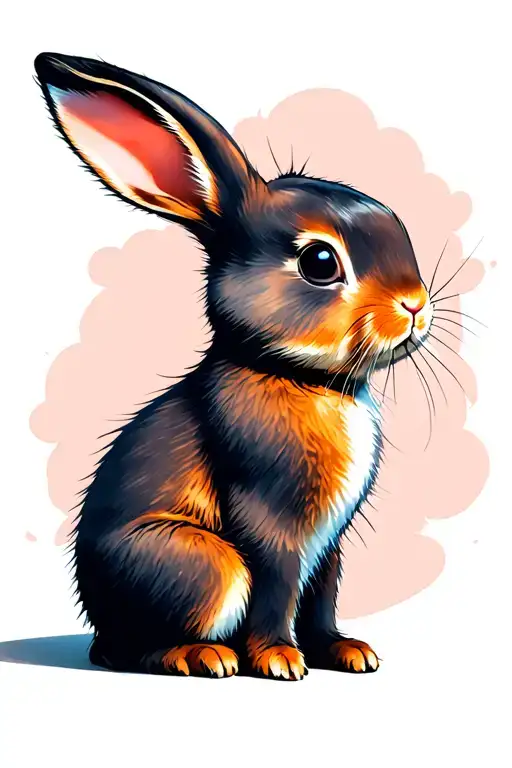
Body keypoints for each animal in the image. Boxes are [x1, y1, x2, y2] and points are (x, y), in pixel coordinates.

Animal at [34, 52, 433, 681]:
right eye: (321, 261)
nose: (415, 305)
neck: (300, 377)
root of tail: (99, 624)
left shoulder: (331, 542)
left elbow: (323, 595)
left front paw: (347, 652)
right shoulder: (270, 524)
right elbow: (276, 587)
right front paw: (280, 661)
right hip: (203, 564)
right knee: (137, 648)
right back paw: (206, 656)